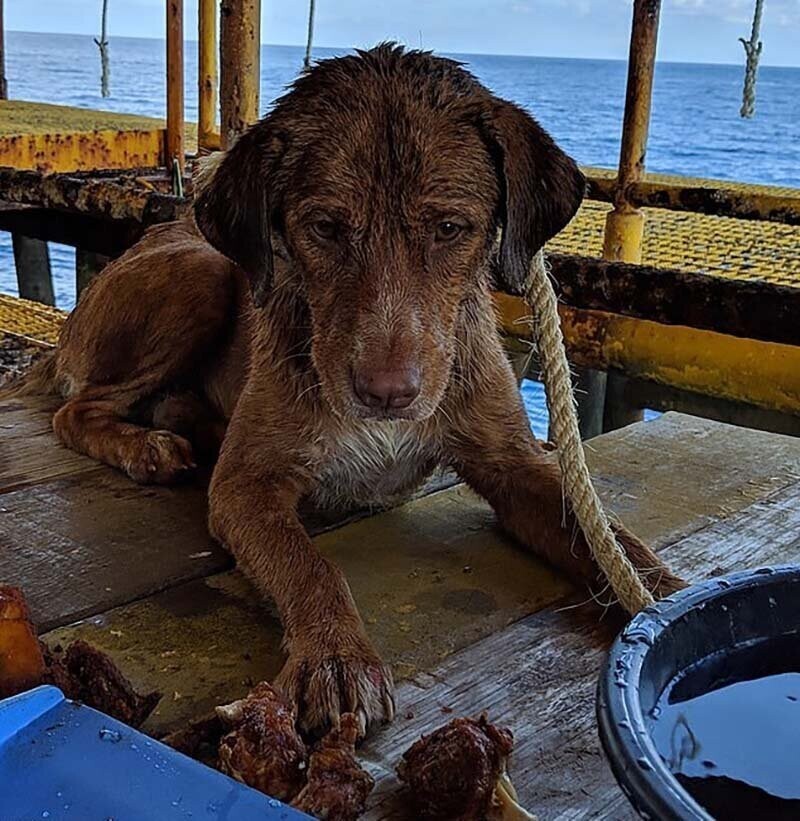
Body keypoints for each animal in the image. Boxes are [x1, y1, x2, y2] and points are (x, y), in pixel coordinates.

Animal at [31, 44, 684, 736]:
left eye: (450, 228)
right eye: (324, 227)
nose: (386, 394)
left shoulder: (514, 464)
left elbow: (606, 536)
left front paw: (668, 595)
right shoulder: (246, 486)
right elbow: (309, 563)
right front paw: (336, 656)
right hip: (200, 273)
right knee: (75, 410)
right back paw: (146, 447)